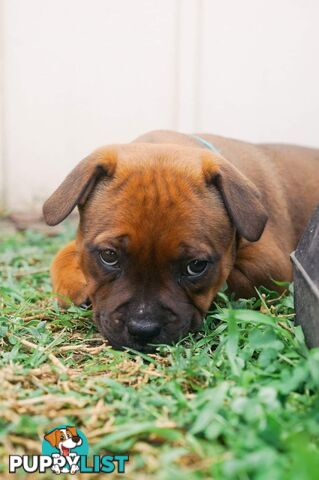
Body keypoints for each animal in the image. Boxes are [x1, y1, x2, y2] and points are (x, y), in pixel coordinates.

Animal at [43, 130, 319, 348]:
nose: (143, 330)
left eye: (196, 266)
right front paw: (73, 285)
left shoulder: (271, 271)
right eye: (109, 256)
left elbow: (227, 283)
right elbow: (62, 254)